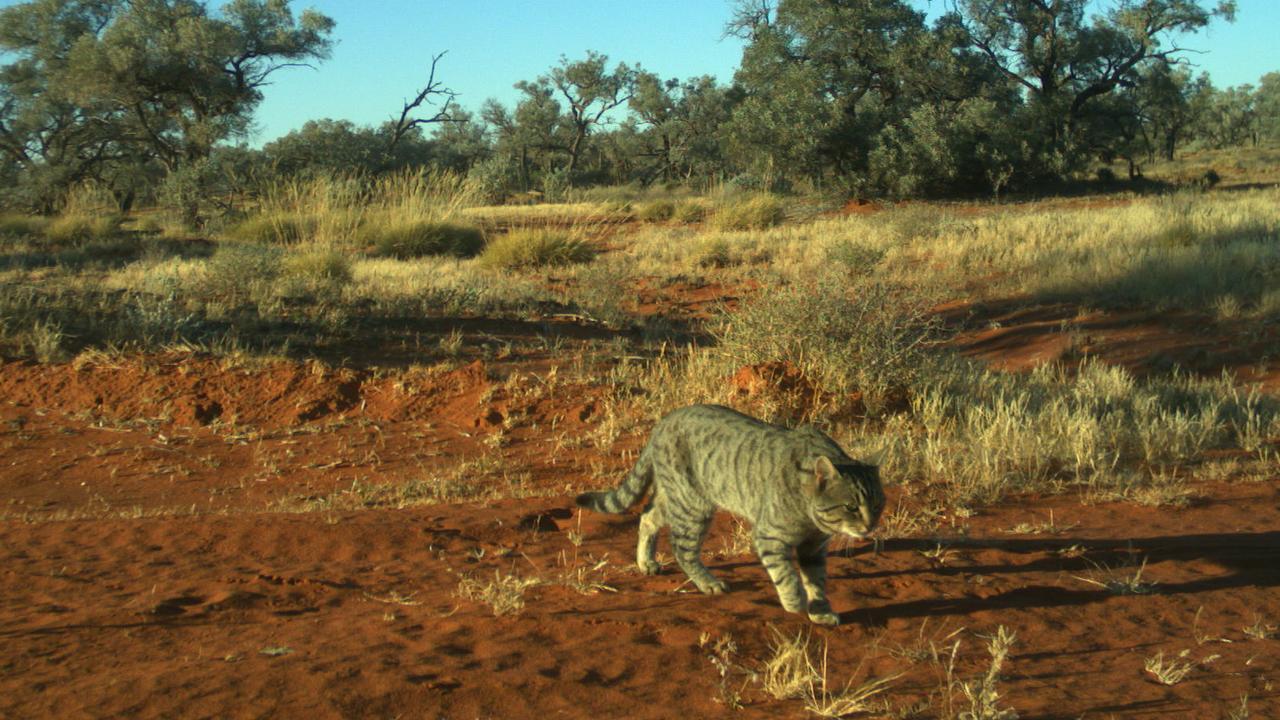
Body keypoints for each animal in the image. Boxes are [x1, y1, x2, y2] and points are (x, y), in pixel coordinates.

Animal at [576, 404, 885, 622]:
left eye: (878, 505)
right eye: (851, 507)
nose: (870, 526)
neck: (811, 514)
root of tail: (664, 421)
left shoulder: (814, 548)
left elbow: (817, 581)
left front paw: (820, 611)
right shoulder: (769, 536)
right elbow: (786, 574)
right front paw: (794, 601)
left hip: (675, 496)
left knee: (647, 516)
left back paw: (646, 562)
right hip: (692, 504)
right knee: (681, 547)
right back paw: (708, 583)